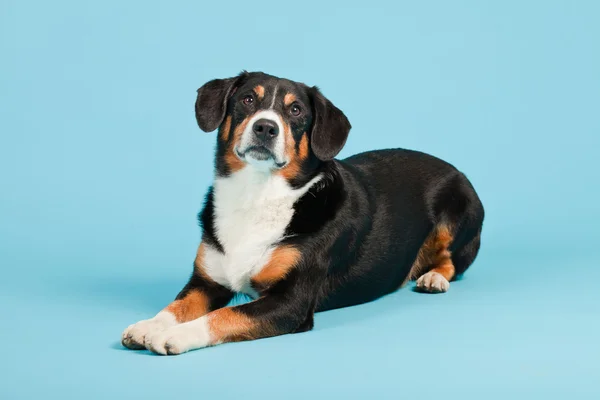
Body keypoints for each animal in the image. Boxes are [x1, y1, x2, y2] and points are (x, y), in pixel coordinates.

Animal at [120, 70, 482, 354]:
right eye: (248, 100)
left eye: (295, 110)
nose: (266, 128)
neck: (257, 195)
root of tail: (455, 169)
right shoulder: (206, 282)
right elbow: (177, 306)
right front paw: (148, 326)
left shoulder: (291, 302)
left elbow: (221, 316)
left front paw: (176, 336)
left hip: (457, 215)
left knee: (453, 262)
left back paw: (433, 277)